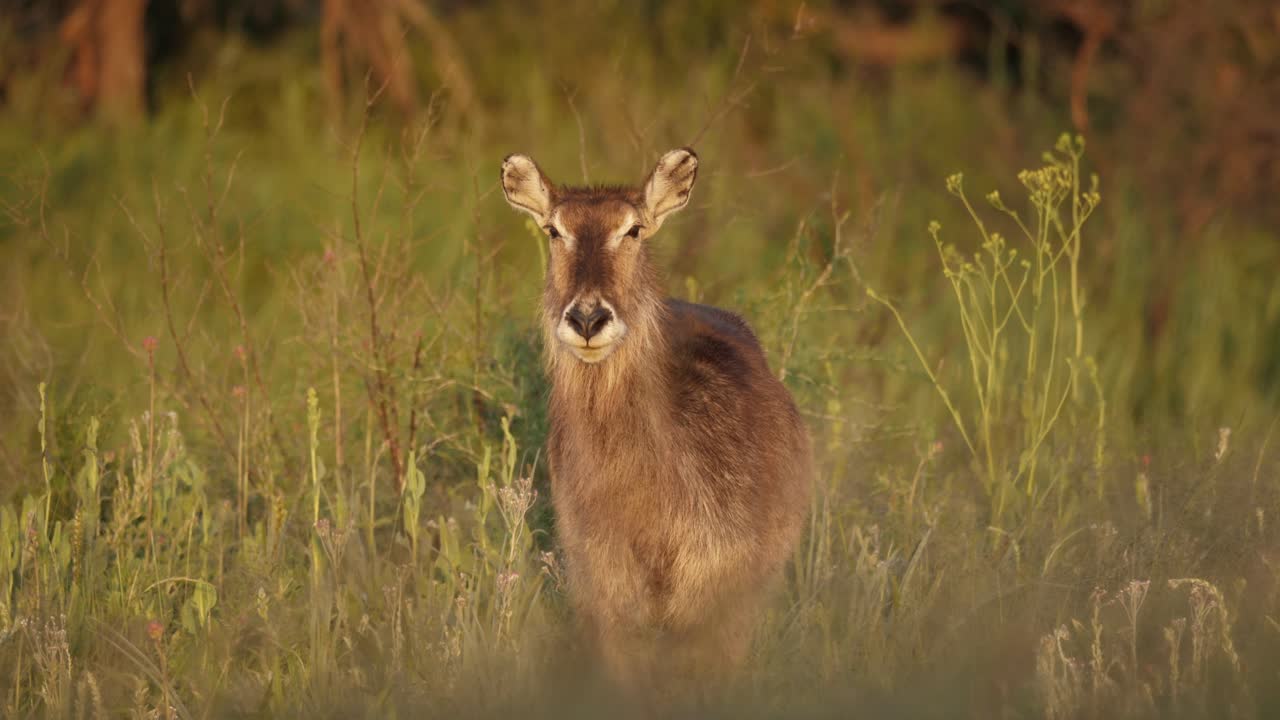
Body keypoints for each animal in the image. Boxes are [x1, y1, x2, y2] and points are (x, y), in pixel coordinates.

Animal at [500, 148, 812, 699]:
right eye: (554, 230)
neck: (647, 504)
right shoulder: (606, 594)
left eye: (634, 229)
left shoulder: (716, 596)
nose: (587, 318)